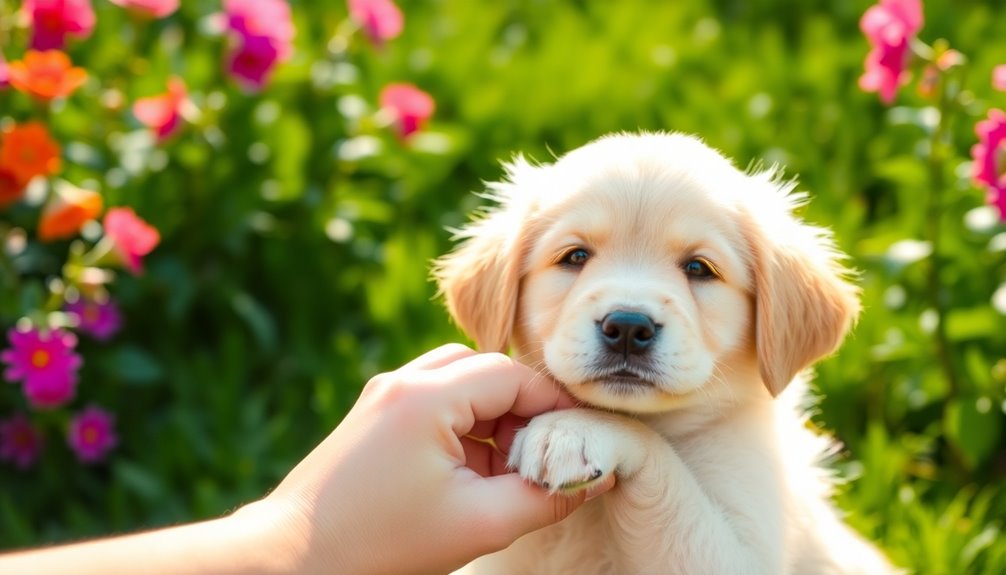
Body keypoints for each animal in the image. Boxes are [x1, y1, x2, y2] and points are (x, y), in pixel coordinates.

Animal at [434, 132, 897, 570]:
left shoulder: (748, 539)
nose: (626, 327)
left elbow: (651, 449)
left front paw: (574, 430)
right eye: (575, 256)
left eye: (698, 268)